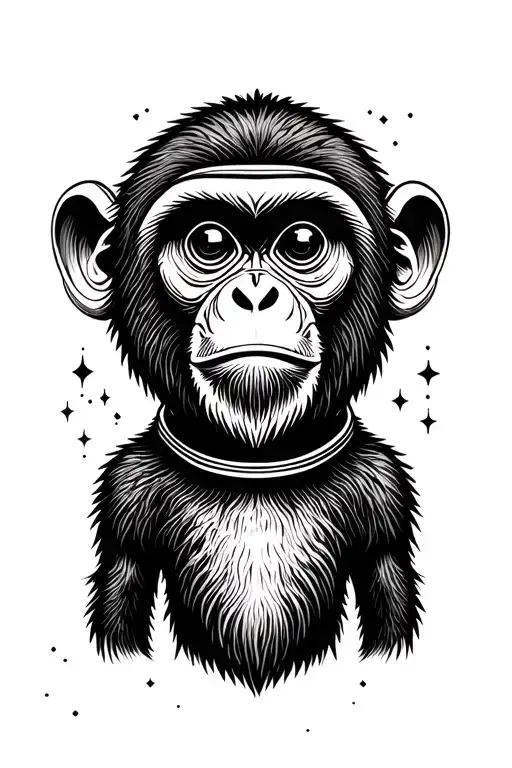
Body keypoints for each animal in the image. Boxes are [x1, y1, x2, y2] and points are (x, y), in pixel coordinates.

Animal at [52, 91, 449, 694]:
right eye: (209, 241)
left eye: (303, 241)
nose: (256, 295)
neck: (256, 468)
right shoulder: (126, 495)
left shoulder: (383, 494)